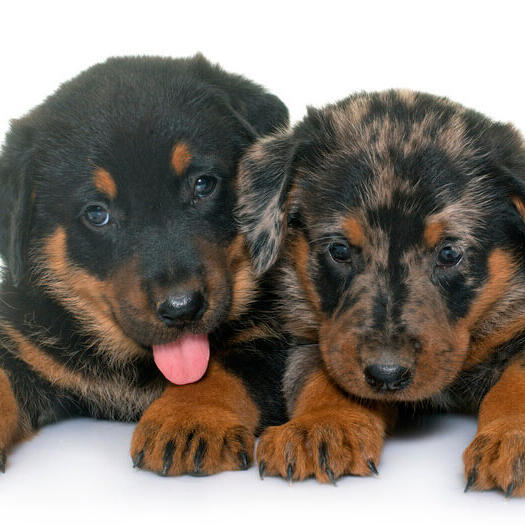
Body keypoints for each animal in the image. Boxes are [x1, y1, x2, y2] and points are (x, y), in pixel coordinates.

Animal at [0, 54, 290, 474]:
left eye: (203, 184)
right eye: (97, 214)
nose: (182, 308)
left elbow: (229, 365)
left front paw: (189, 417)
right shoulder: (22, 340)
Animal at [238, 90, 525, 496]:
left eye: (449, 253)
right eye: (339, 250)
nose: (386, 375)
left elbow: (517, 381)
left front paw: (511, 439)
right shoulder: (313, 334)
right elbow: (325, 378)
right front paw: (322, 426)